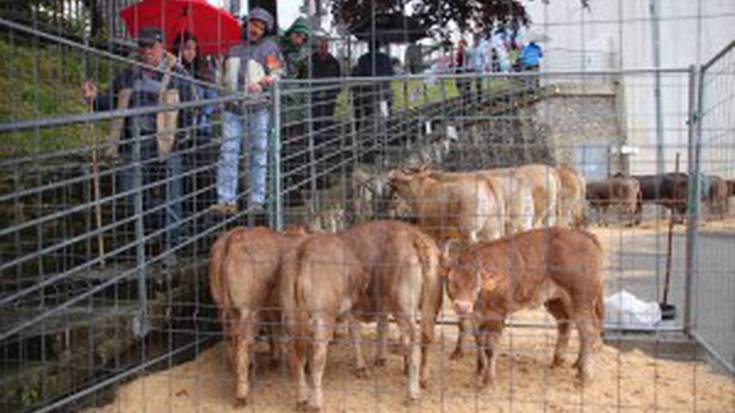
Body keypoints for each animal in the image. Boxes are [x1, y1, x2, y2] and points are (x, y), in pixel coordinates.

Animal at [282, 219, 442, 408]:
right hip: (429, 306)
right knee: (426, 336)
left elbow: (358, 333)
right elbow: (378, 328)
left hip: (398, 307)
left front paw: (364, 366)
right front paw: (378, 360)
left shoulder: (354, 308)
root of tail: (413, 235)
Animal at [442, 227, 604, 384]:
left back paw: (585, 377)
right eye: (451, 282)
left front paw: (489, 380)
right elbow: (479, 343)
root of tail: (584, 235)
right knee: (567, 323)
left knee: (589, 332)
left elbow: (490, 347)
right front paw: (478, 371)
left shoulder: (496, 314)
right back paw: (566, 363)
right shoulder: (476, 317)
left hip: (581, 302)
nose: (462, 306)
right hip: (557, 300)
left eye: (475, 285)